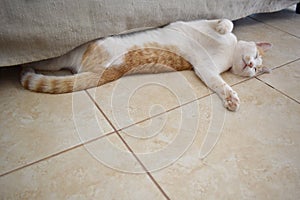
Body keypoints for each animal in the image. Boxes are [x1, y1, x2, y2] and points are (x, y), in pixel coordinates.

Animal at [20, 19, 272, 111]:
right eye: (256, 55)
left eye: (256, 69)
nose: (252, 65)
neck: (229, 52)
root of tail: (107, 71)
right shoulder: (196, 25)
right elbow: (227, 22)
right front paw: (221, 27)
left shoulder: (206, 70)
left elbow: (220, 85)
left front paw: (230, 98)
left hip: (66, 56)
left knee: (46, 62)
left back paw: (29, 66)